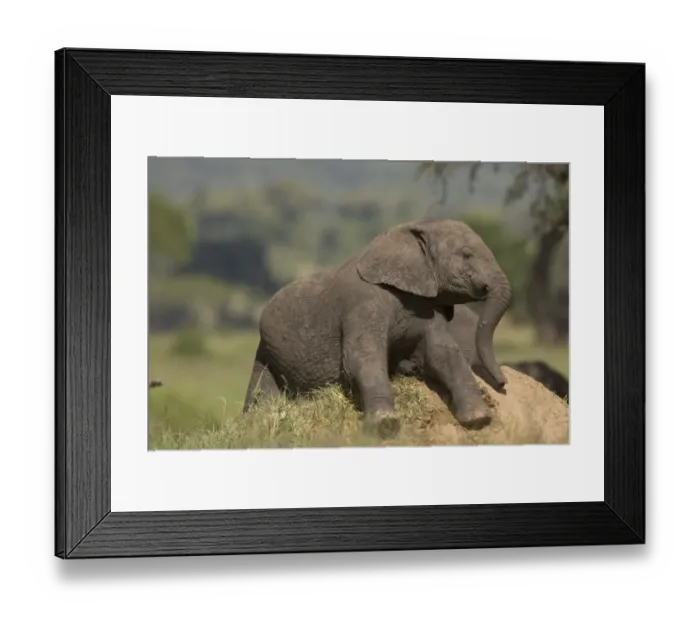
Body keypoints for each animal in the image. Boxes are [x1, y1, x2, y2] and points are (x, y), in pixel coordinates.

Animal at [242, 217, 513, 437]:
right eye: (466, 254)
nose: (503, 384)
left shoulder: (423, 306)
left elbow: (443, 353)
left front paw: (479, 419)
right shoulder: (362, 306)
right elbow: (362, 358)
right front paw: (385, 425)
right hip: (267, 352)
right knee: (261, 392)